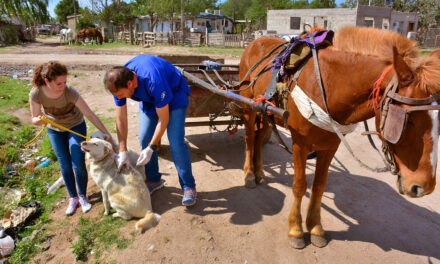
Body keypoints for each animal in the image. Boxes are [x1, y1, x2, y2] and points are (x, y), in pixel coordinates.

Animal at [239, 27, 440, 250]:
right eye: (409, 120)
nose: (424, 187)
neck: (327, 84)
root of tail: (253, 43)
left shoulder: (330, 146)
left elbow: (319, 186)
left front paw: (315, 228)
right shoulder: (300, 144)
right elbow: (299, 186)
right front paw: (296, 231)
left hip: (265, 110)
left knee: (259, 138)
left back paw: (259, 172)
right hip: (248, 105)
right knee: (250, 138)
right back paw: (249, 174)